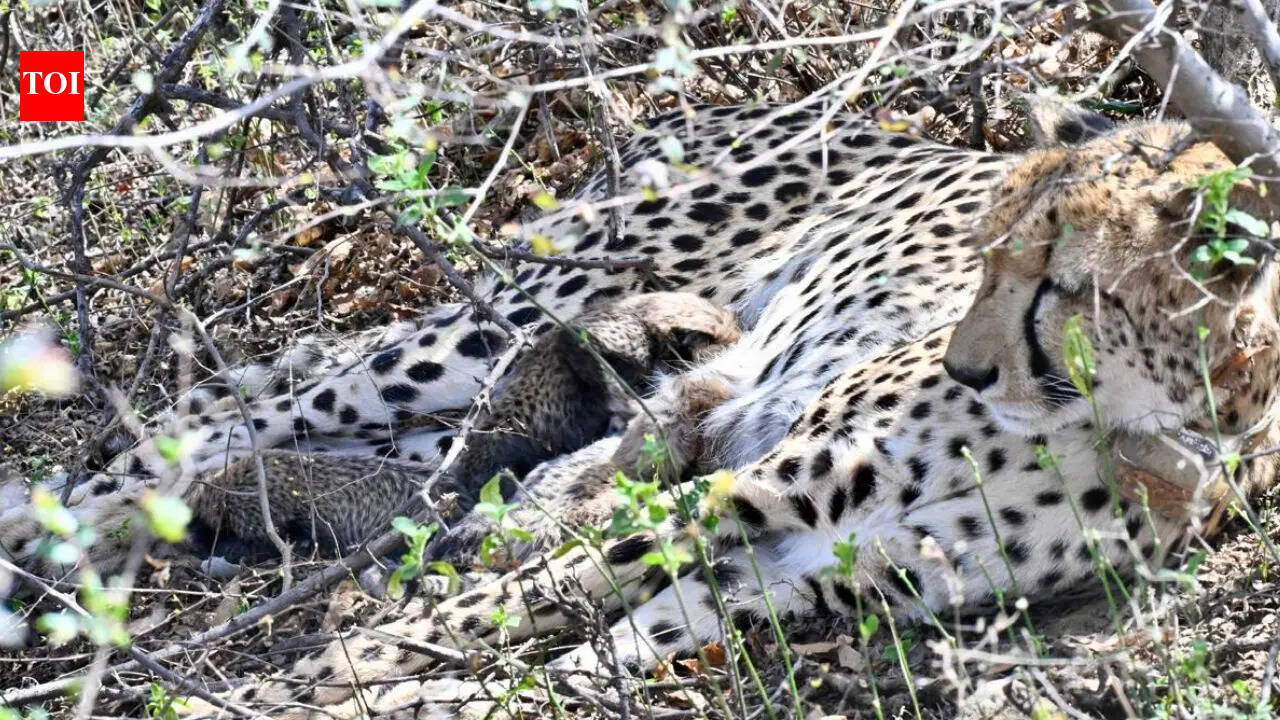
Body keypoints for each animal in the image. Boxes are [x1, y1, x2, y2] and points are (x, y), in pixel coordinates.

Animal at [8, 99, 1280, 718]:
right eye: (979, 259)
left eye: (1056, 281)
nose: (968, 369)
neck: (1134, 424)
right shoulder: (745, 492)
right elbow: (496, 608)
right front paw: (309, 684)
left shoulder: (810, 571)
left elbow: (585, 648)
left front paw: (437, 690)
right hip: (501, 318)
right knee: (217, 425)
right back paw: (54, 538)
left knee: (406, 466)